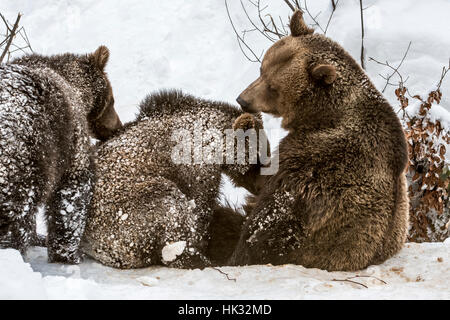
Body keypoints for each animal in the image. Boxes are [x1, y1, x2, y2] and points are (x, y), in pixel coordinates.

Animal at [0, 46, 122, 264]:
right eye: (112, 100)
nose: (118, 127)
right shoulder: (70, 137)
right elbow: (73, 192)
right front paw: (68, 253)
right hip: (24, 159)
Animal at [81, 90, 268, 270]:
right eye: (257, 158)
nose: (261, 186)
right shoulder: (194, 166)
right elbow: (198, 207)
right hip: (124, 213)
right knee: (168, 206)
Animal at [230, 10, 410, 272]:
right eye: (261, 69)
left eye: (274, 88)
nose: (242, 100)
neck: (322, 115)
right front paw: (246, 124)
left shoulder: (319, 159)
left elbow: (268, 201)